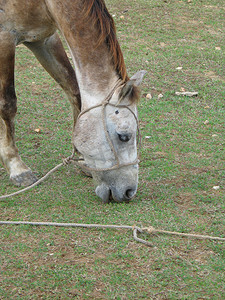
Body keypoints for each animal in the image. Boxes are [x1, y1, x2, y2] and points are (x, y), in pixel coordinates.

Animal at [0, 0, 146, 203]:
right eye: (124, 136)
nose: (129, 192)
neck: (45, 4)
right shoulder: (4, 38)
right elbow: (7, 105)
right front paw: (17, 167)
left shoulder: (44, 39)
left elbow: (73, 90)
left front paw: (82, 160)